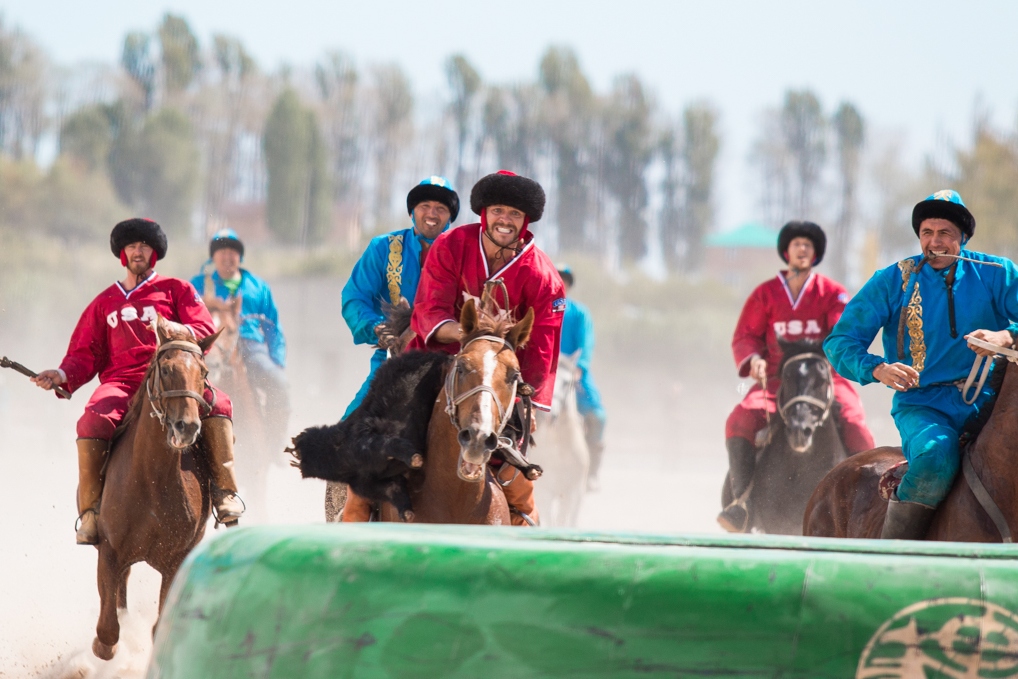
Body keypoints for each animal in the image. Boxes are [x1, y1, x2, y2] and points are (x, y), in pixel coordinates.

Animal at [90, 317, 221, 659]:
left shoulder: (176, 561)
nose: (187, 426)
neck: (152, 480)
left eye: (203, 372)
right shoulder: (109, 551)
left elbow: (159, 627)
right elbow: (107, 633)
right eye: (166, 369)